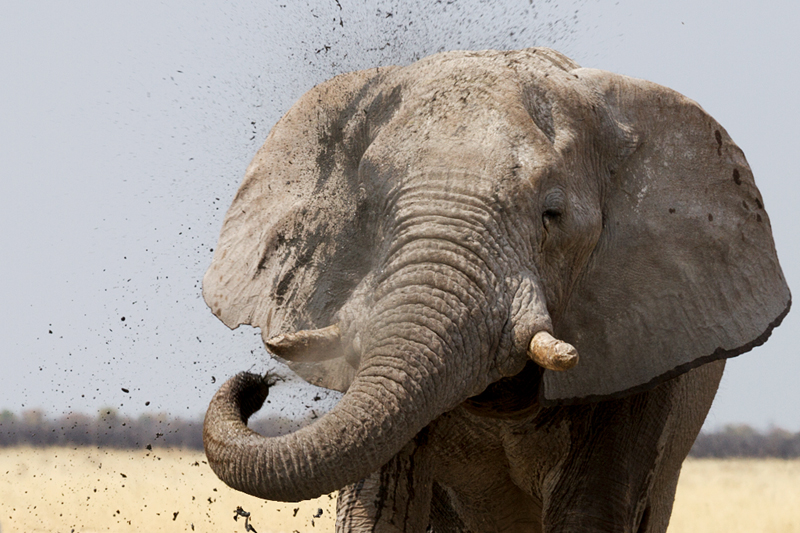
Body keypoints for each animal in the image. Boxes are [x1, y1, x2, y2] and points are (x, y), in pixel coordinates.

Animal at [200, 47, 788, 528]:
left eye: (552, 215)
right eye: (371, 210)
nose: (257, 384)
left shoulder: (639, 347)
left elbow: (592, 509)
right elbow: (380, 501)